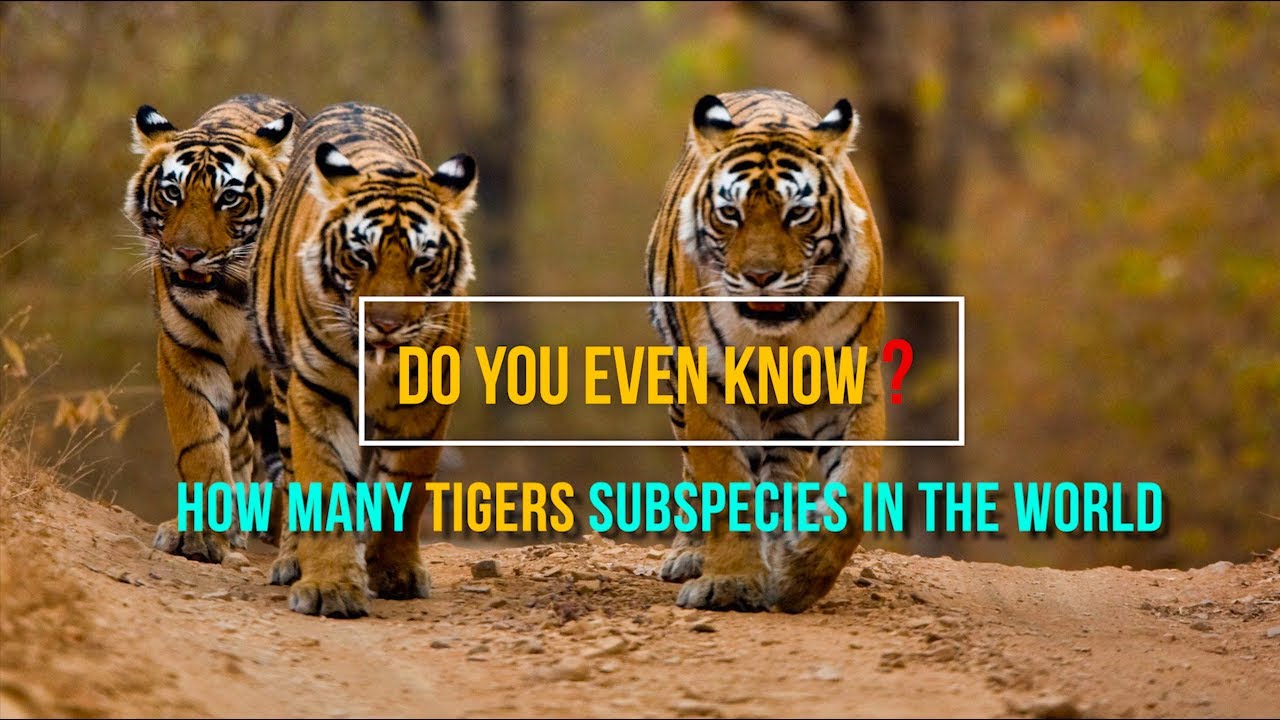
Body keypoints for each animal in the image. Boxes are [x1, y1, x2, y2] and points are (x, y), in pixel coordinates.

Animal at [124, 94, 303, 563]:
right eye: (172, 193)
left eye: (229, 198)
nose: (189, 253)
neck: (233, 289)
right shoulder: (187, 351)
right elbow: (201, 443)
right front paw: (201, 536)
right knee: (241, 446)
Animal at [251, 102, 478, 618]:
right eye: (361, 256)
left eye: (422, 261)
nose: (387, 324)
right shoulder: (316, 393)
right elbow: (323, 485)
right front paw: (330, 587)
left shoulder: (426, 399)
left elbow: (405, 490)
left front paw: (394, 573)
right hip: (281, 390)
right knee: (290, 472)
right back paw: (292, 560)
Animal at [644, 89, 886, 613]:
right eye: (730, 213)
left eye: (797, 213)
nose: (760, 276)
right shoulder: (709, 388)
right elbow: (724, 484)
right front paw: (730, 583)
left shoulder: (855, 384)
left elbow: (855, 491)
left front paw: (799, 577)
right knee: (694, 471)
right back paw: (692, 554)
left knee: (779, 475)